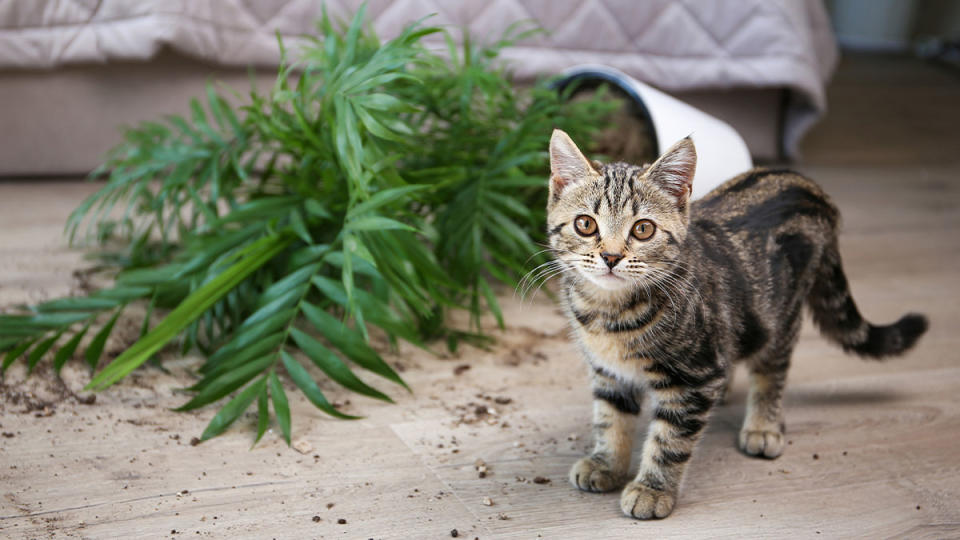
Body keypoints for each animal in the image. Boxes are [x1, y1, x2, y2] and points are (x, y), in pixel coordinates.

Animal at [548, 127, 928, 520]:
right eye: (585, 224)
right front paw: (606, 463)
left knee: (772, 370)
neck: (611, 312)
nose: (610, 257)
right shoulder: (609, 371)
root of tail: (808, 185)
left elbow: (669, 439)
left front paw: (652, 489)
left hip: (780, 316)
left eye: (643, 229)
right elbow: (610, 418)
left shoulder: (692, 379)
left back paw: (763, 425)